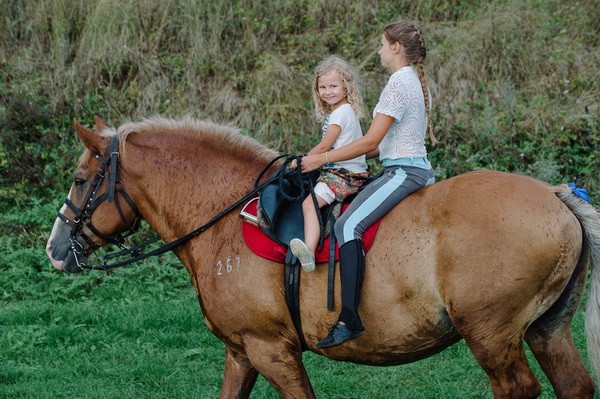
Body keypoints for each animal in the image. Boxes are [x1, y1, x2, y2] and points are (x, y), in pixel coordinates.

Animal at [45, 115, 600, 396]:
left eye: (80, 180)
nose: (54, 250)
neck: (223, 223)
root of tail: (556, 196)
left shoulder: (272, 352)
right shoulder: (241, 352)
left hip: (491, 335)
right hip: (546, 329)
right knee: (573, 385)